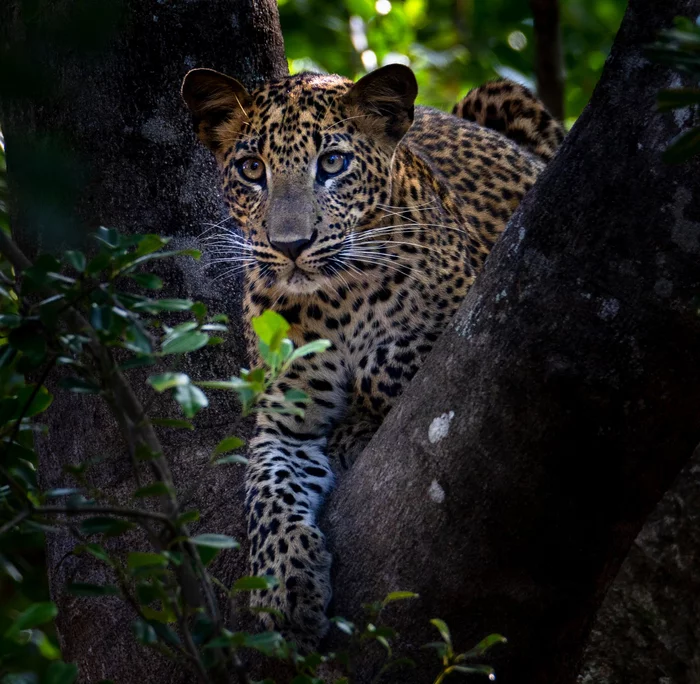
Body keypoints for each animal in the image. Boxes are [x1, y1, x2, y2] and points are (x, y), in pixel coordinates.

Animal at [180, 67, 564, 648]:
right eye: (251, 170)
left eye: (332, 164)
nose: (290, 246)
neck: (337, 299)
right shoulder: (284, 425)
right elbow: (265, 491)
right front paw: (283, 588)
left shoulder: (490, 296)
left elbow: (399, 356)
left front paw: (356, 420)